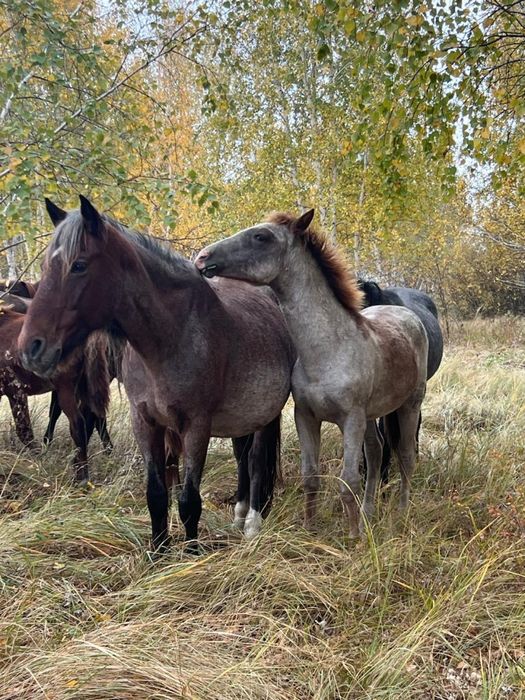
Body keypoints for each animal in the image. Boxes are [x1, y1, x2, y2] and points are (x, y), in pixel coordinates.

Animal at [0, 305, 111, 478]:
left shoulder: (16, 391)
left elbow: (25, 431)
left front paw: (40, 462)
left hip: (67, 388)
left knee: (78, 424)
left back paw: (81, 476)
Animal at [18, 195, 295, 552]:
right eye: (44, 268)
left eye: (78, 265)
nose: (31, 347)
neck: (170, 337)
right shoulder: (145, 422)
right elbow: (156, 494)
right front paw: (159, 550)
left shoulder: (196, 426)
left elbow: (189, 499)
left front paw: (191, 553)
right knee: (242, 457)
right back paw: (239, 513)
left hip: (266, 415)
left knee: (258, 460)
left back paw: (253, 521)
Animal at [195, 210, 429, 539]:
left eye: (261, 237)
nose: (203, 258)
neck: (328, 350)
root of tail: (409, 316)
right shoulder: (306, 416)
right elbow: (311, 476)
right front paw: (311, 528)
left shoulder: (351, 420)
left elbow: (348, 480)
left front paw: (354, 538)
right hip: (372, 415)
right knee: (376, 452)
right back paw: (368, 513)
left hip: (410, 405)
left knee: (405, 456)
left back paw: (401, 512)